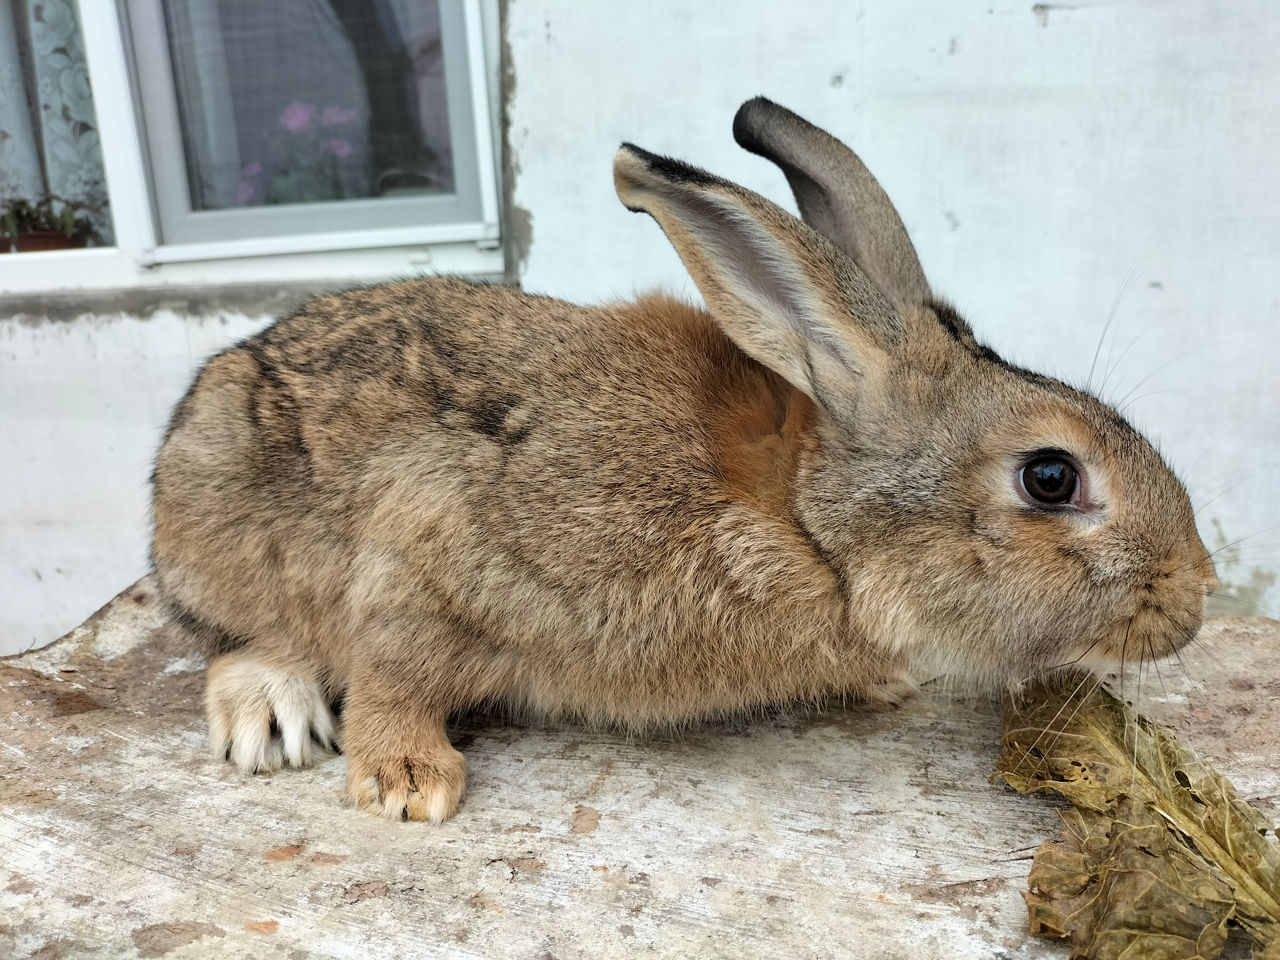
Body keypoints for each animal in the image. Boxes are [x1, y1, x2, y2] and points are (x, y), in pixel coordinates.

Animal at [152, 97, 1218, 824]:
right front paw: (408, 784)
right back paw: (273, 713)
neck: (806, 524)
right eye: (1051, 477)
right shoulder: (431, 545)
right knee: (234, 632)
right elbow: (393, 666)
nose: (1195, 595)